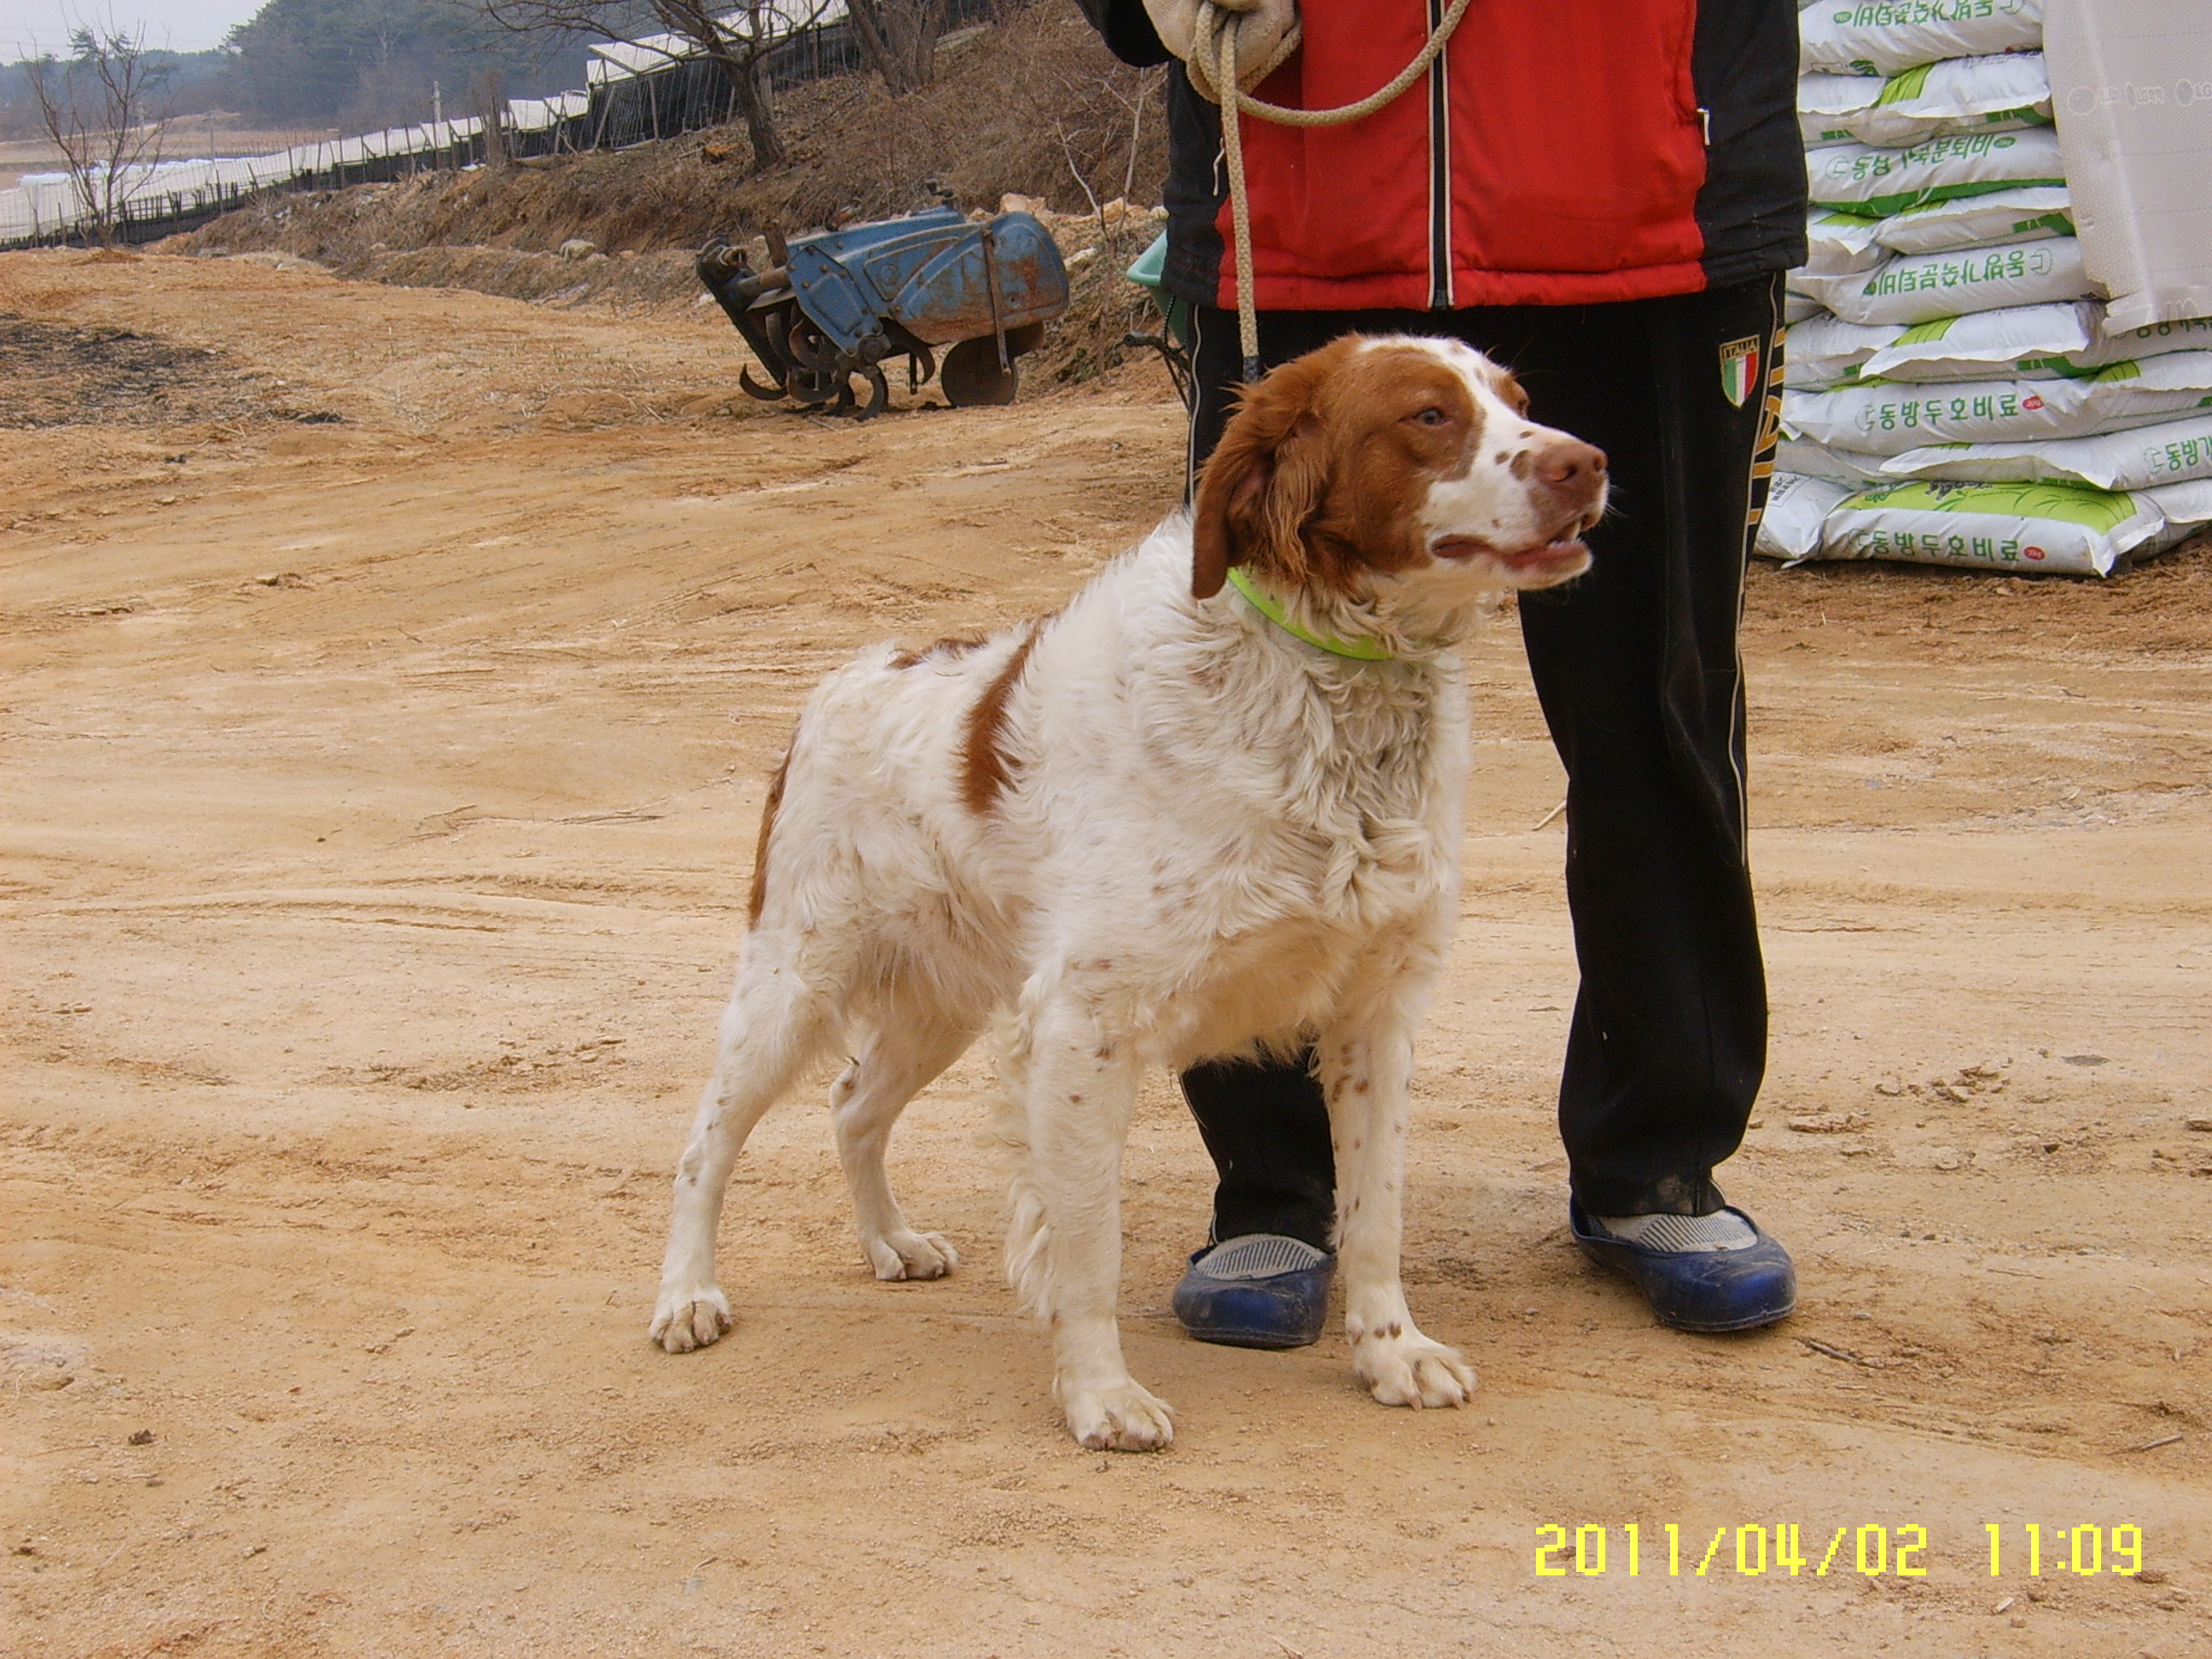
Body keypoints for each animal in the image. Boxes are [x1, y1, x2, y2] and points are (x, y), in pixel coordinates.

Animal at [650, 335, 1606, 1450]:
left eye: (1520, 399)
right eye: (1427, 416)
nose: (1587, 464)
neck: (1325, 696)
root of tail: (841, 680)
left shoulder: (1376, 1015)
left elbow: (1377, 1214)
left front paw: (1391, 1352)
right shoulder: (1085, 1023)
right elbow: (1087, 1244)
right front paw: (1100, 1394)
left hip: (942, 1004)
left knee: (851, 1106)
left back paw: (892, 1241)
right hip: (793, 982)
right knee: (705, 1143)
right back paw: (685, 1296)